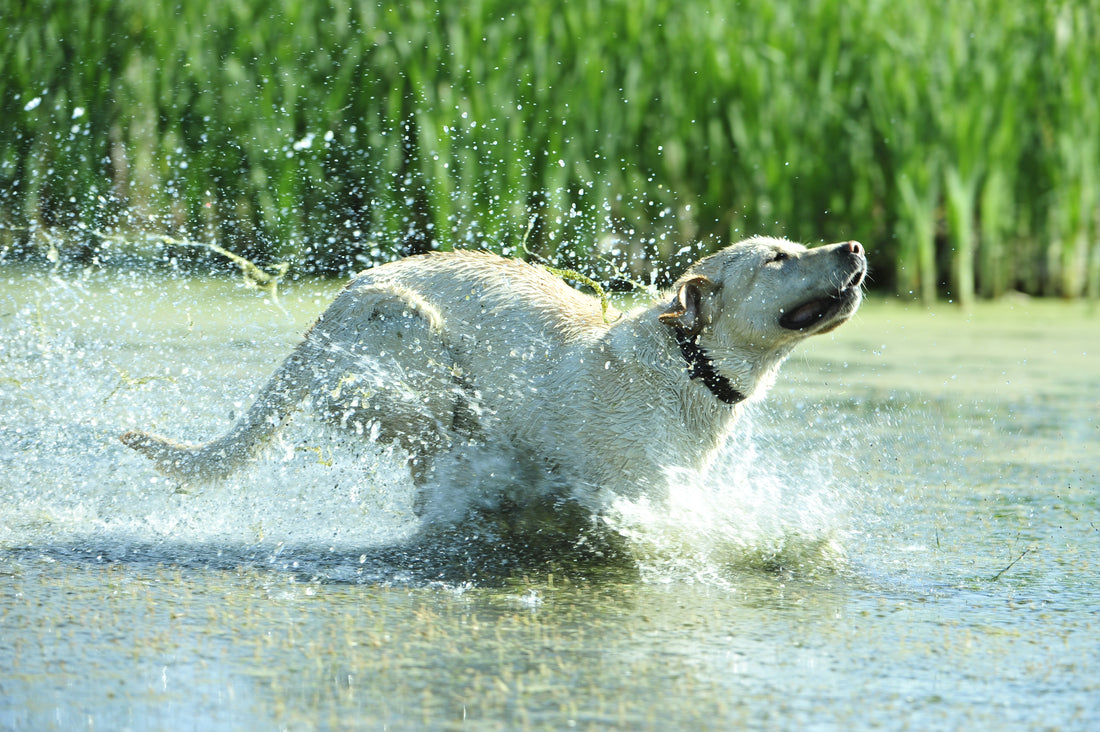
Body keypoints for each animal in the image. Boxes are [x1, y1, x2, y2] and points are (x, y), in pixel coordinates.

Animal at [120, 235, 866, 512]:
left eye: (798, 243)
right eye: (778, 258)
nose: (854, 246)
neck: (689, 366)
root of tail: (333, 305)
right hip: (410, 334)